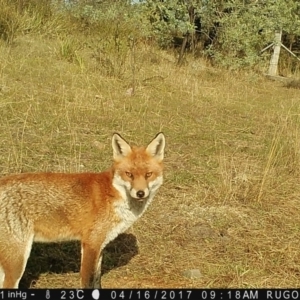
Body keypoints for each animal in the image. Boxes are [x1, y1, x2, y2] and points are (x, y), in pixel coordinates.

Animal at [0, 133, 165, 288]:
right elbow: (88, 283)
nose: (140, 193)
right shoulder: (90, 244)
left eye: (148, 174)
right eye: (129, 174)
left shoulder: (100, 245)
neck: (113, 195)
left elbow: (97, 282)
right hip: (17, 261)